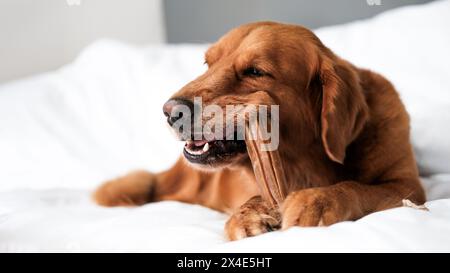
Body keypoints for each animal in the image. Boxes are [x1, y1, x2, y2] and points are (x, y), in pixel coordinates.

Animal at [94, 22, 426, 239]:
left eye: (255, 72)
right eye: (208, 64)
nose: (170, 111)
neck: (309, 163)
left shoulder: (407, 186)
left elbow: (356, 187)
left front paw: (317, 200)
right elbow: (257, 195)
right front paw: (247, 215)